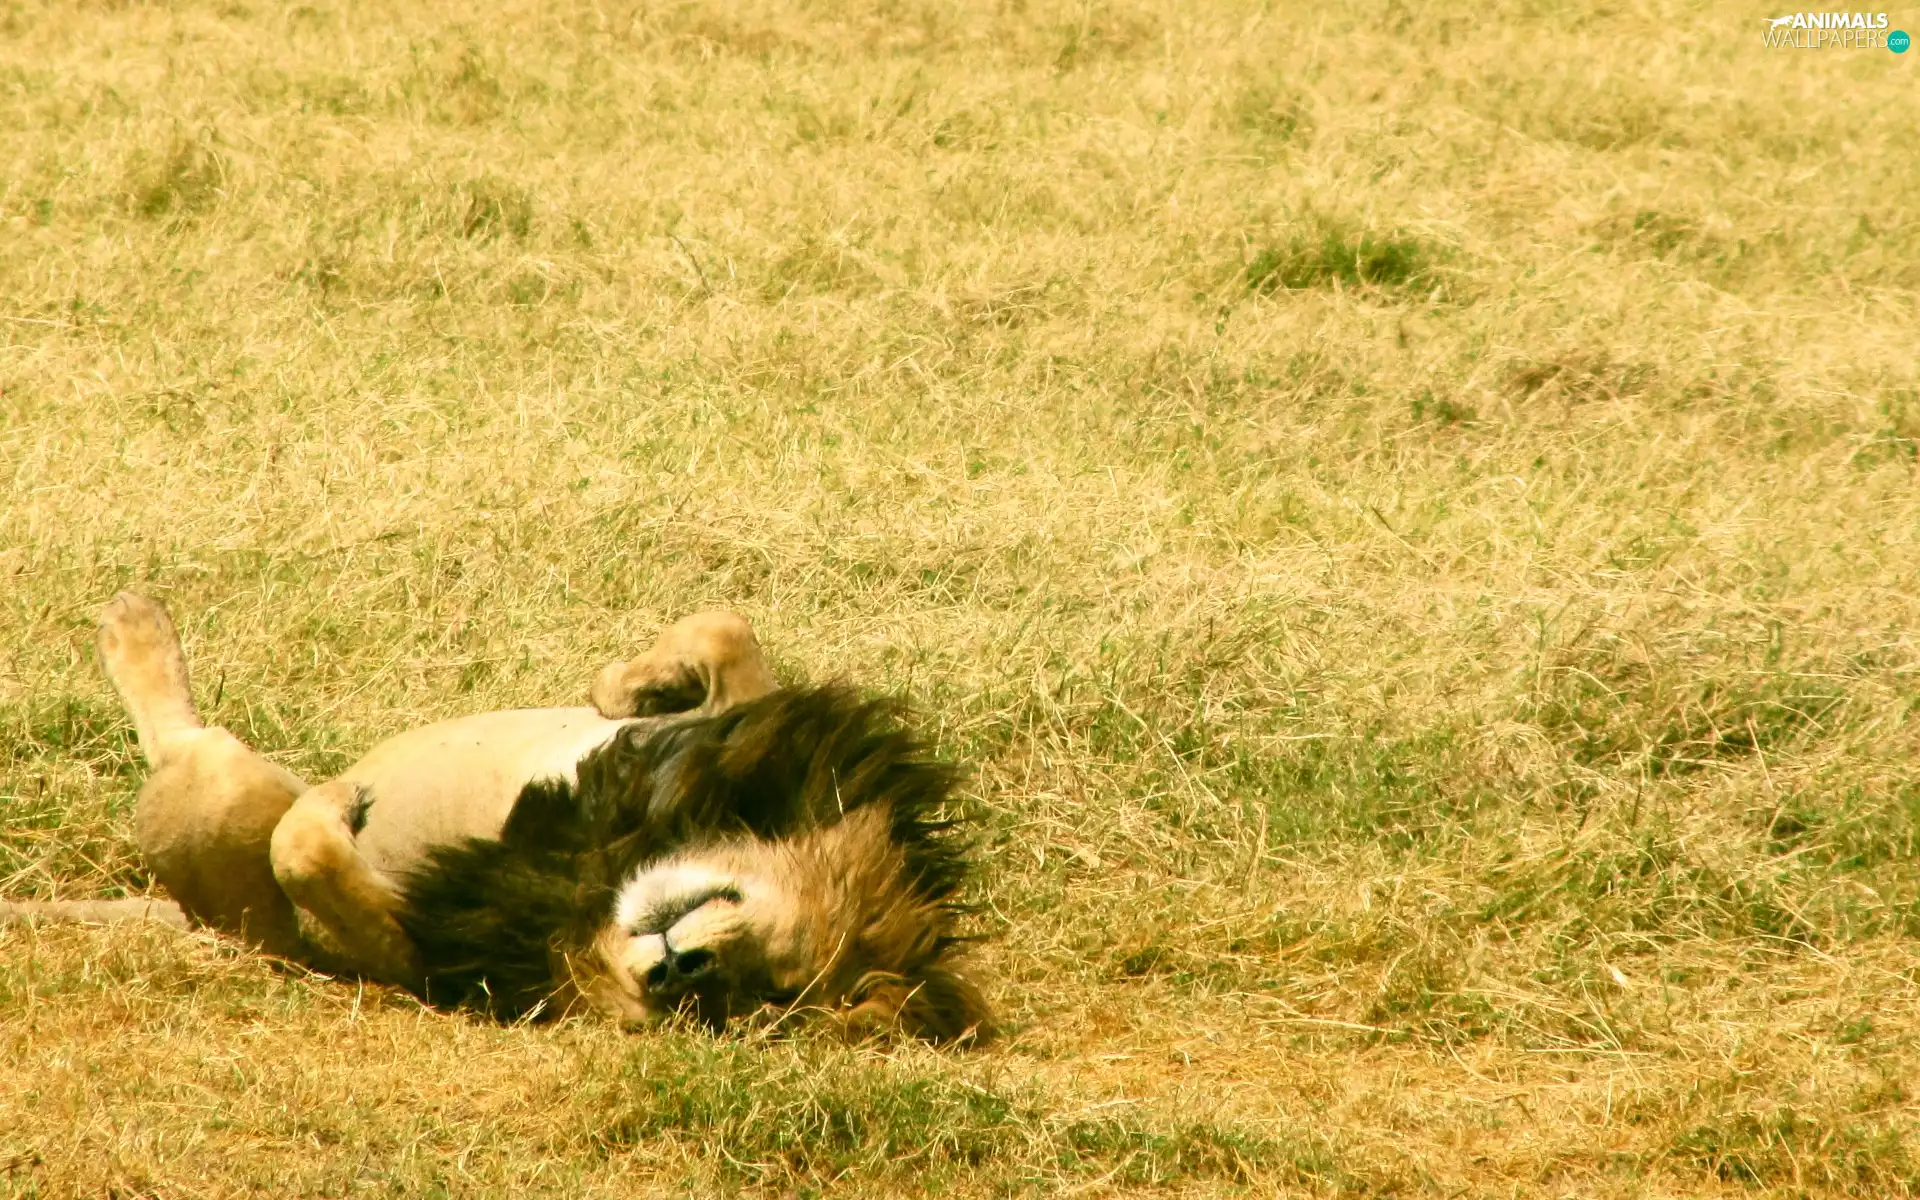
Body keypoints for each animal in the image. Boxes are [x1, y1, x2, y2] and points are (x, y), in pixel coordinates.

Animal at [1, 593, 989, 1043]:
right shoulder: (751, 739)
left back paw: (141, 638)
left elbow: (317, 866)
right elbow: (724, 632)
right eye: (780, 978)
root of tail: (182, 912)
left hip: (225, 806)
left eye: (762, 999)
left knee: (200, 759)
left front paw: (350, 837)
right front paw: (626, 684)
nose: (686, 973)